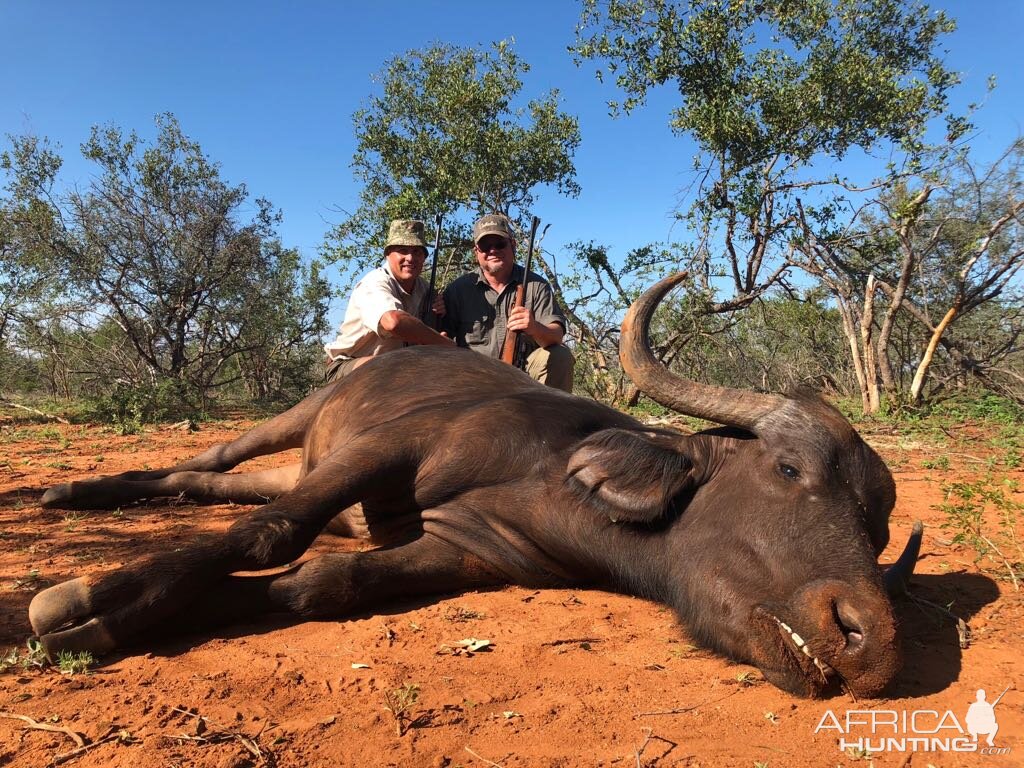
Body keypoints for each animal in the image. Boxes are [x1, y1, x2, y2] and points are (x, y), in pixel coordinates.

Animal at [29, 274, 921, 700]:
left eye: (876, 531)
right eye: (787, 469)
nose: (867, 639)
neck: (555, 478)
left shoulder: (465, 554)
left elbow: (315, 583)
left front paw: (107, 625)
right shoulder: (390, 449)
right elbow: (271, 534)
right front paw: (69, 601)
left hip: (298, 463)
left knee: (205, 482)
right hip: (299, 419)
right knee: (214, 460)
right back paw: (67, 496)